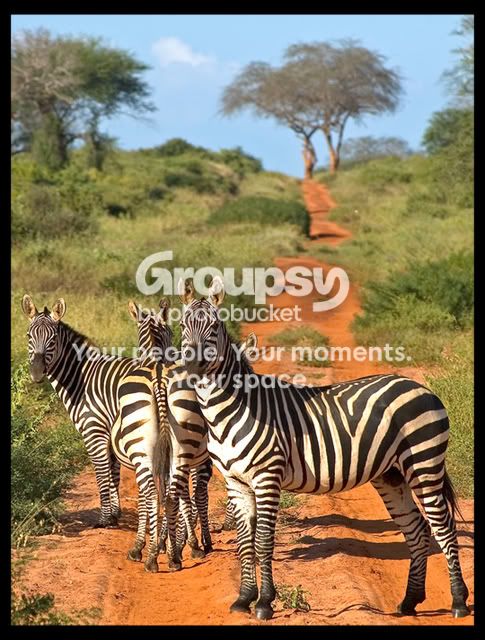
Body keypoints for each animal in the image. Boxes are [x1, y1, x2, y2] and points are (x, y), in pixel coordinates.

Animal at [178, 276, 470, 621]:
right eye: (182, 325)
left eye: (214, 326)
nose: (193, 364)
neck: (231, 409)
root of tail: (420, 386)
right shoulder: (235, 482)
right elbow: (244, 542)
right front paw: (243, 599)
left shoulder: (267, 478)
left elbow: (263, 541)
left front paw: (264, 603)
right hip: (392, 475)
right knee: (418, 529)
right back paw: (409, 601)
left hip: (424, 463)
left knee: (444, 528)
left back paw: (459, 602)